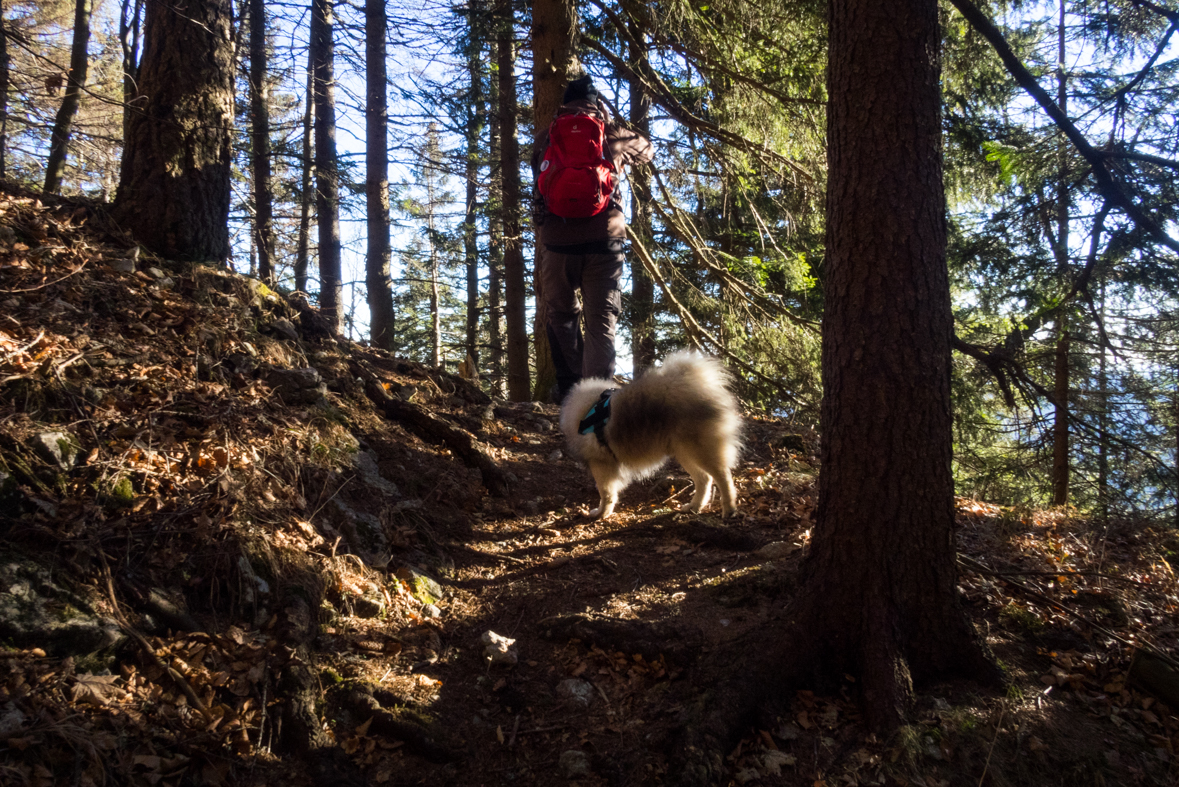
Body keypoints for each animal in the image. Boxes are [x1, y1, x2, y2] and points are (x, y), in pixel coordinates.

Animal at [558, 351, 740, 523]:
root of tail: (701, 382)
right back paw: (694, 507)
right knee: (704, 479)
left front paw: (602, 513)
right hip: (685, 452)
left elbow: (606, 493)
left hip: (699, 449)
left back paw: (729, 509)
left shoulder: (601, 464)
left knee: (723, 477)